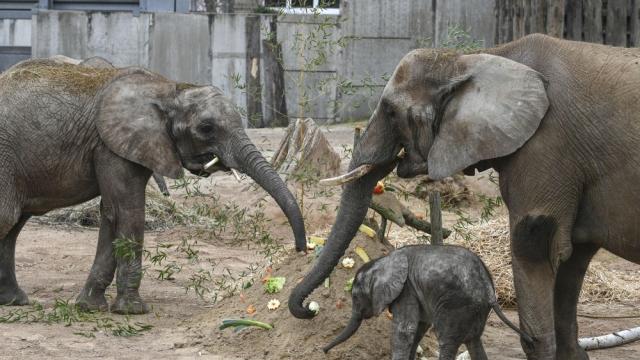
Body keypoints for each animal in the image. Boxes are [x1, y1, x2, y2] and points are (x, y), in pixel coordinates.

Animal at [0, 57, 306, 314]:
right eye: (206, 128)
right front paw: (133, 311)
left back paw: (14, 301)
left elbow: (111, 214)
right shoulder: (112, 146)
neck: (169, 90)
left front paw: (90, 307)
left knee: (13, 225)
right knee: (7, 218)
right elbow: (128, 212)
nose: (301, 250)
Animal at [322, 245, 532, 360]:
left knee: (447, 341)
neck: (382, 261)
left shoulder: (406, 289)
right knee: (474, 342)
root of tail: (489, 288)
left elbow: (405, 330)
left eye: (356, 297)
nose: (324, 351)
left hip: (457, 305)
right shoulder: (414, 291)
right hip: (476, 309)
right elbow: (419, 328)